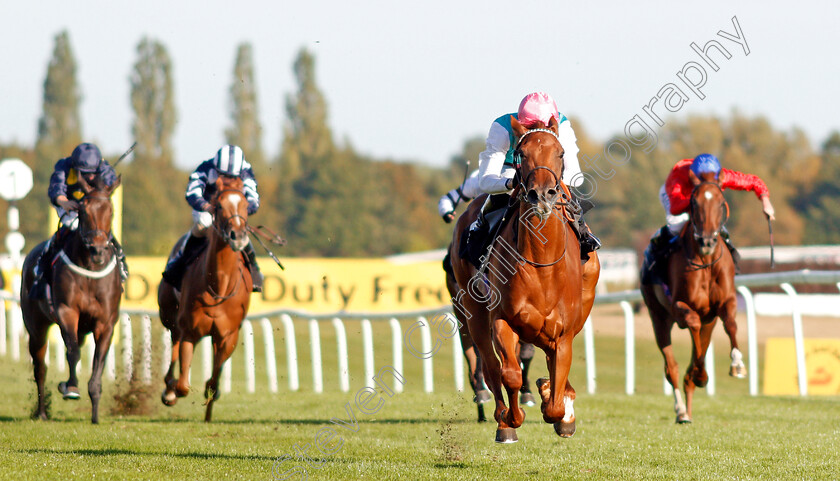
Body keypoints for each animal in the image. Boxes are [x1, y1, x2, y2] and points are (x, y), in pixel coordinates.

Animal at [19, 174, 123, 422]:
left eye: (111, 210)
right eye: (83, 210)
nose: (97, 249)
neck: (91, 268)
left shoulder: (105, 322)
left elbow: (98, 361)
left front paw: (95, 412)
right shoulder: (67, 311)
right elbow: (73, 351)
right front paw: (71, 388)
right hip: (36, 327)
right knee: (40, 368)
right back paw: (42, 412)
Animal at [156, 175, 251, 420]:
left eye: (246, 205)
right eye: (219, 206)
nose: (238, 236)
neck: (220, 285)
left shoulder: (228, 335)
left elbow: (215, 380)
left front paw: (211, 398)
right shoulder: (190, 330)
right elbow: (183, 385)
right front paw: (173, 389)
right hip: (171, 315)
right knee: (174, 341)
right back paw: (168, 388)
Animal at [450, 117, 600, 442]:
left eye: (560, 152)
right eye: (521, 154)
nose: (542, 194)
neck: (542, 263)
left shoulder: (563, 332)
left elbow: (555, 398)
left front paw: (556, 404)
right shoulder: (502, 320)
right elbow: (510, 374)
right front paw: (510, 419)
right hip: (472, 310)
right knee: (490, 365)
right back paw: (501, 418)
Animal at [644, 174, 740, 422]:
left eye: (721, 202)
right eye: (694, 203)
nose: (707, 242)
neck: (705, 262)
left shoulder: (723, 305)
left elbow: (730, 323)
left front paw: (737, 363)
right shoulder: (679, 306)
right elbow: (693, 323)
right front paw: (701, 375)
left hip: (708, 322)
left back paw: (688, 402)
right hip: (658, 317)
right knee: (672, 367)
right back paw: (681, 410)